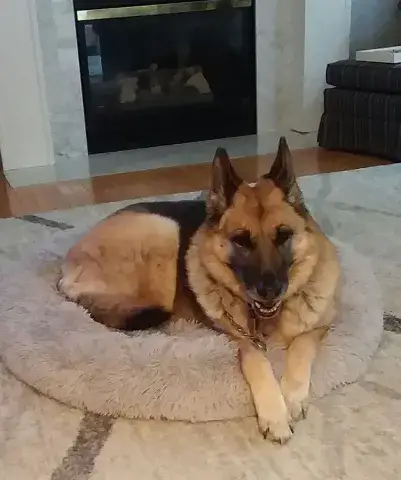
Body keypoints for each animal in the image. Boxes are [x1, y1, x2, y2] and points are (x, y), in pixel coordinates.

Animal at [58, 137, 340, 443]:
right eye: (241, 241)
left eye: (284, 236)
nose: (270, 291)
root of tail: (66, 268)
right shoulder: (241, 340)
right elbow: (257, 361)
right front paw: (275, 413)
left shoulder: (320, 326)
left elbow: (302, 345)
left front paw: (292, 396)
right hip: (163, 232)